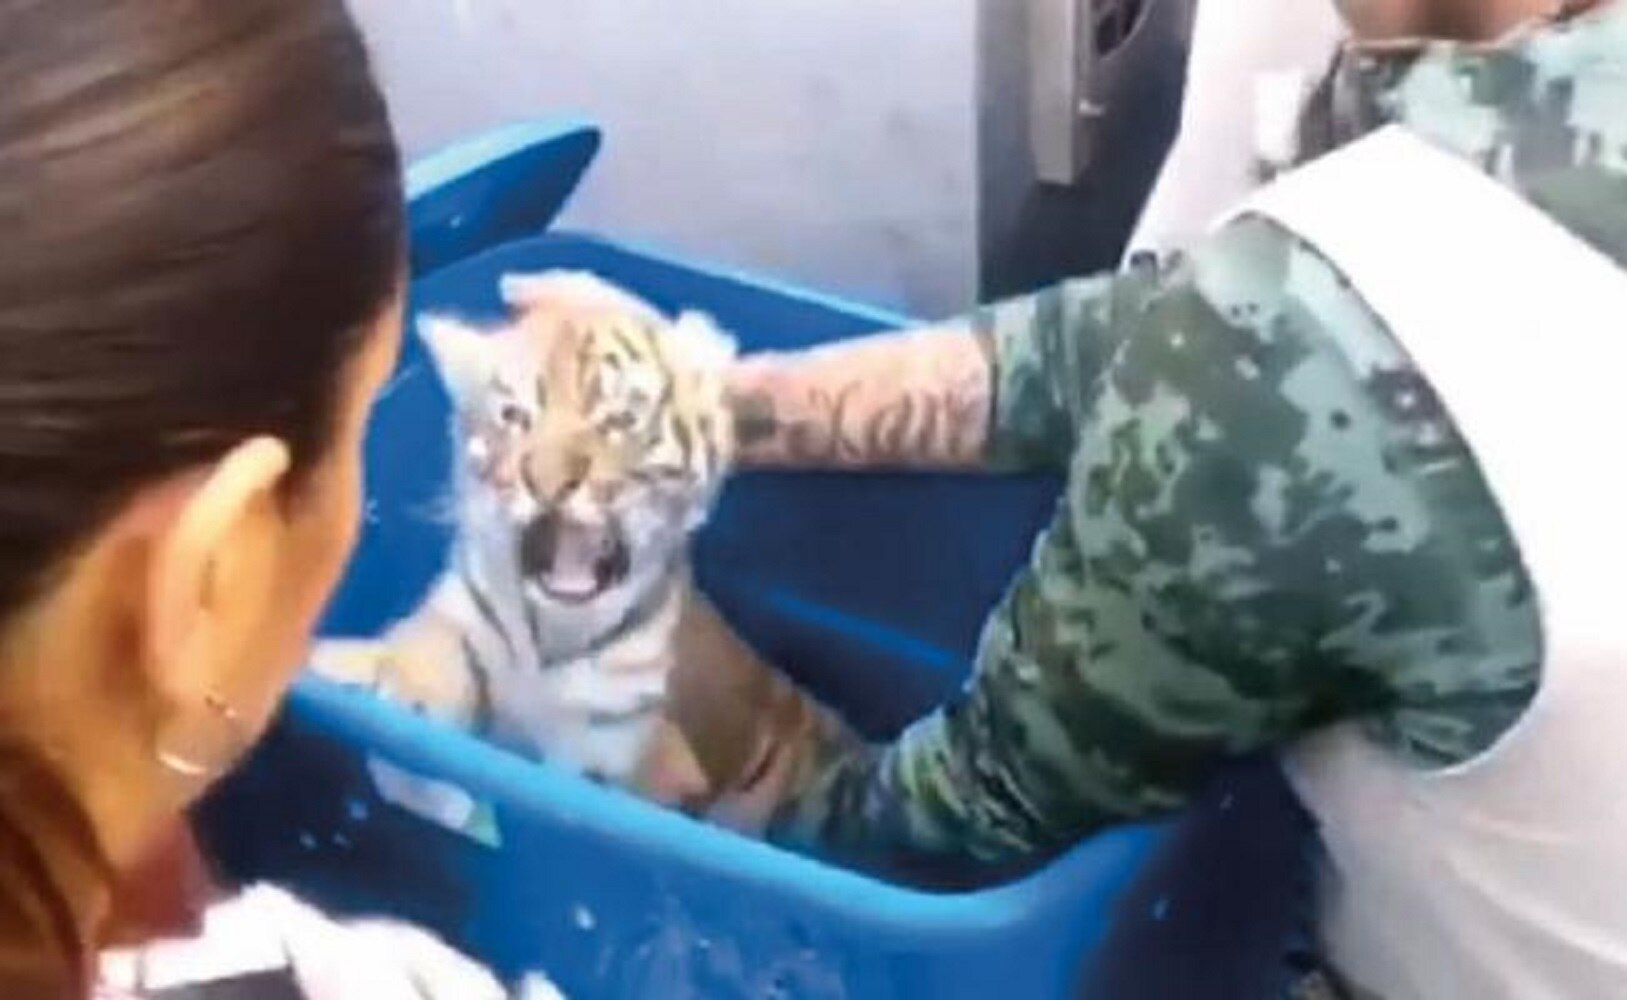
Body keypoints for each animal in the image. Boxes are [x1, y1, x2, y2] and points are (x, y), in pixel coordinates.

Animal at [309, 270, 850, 830]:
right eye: (514, 415)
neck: (552, 634)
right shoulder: (457, 622)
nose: (546, 483)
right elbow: (425, 655)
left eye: (621, 419)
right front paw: (386, 689)